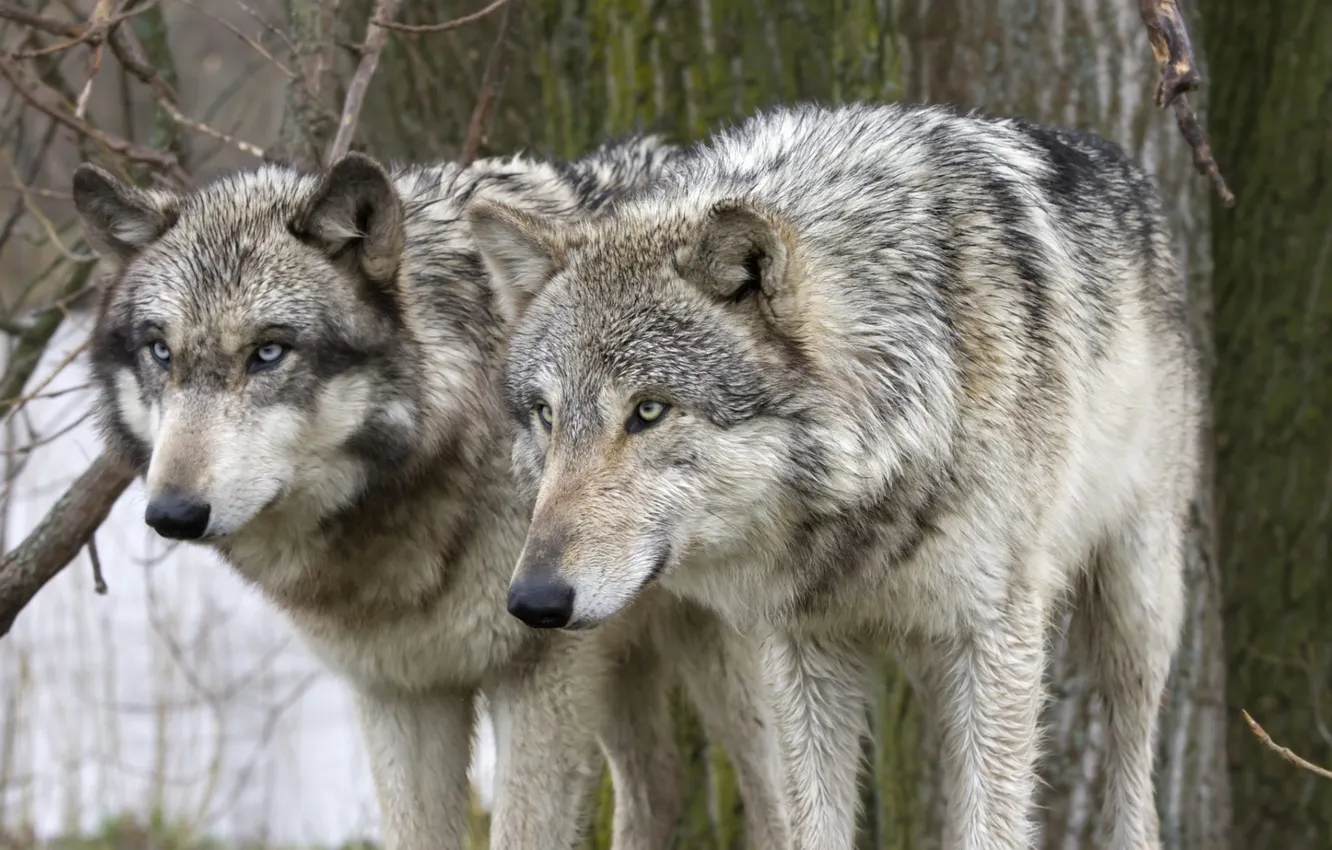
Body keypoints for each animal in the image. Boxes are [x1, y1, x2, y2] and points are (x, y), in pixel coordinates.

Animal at [73, 137, 789, 850]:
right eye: (160, 352)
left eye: (268, 352)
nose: (172, 513)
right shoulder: (400, 693)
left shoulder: (539, 675)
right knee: (658, 784)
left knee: (772, 797)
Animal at [468, 101, 1202, 850]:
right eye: (547, 415)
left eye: (648, 411)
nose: (533, 600)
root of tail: (1119, 162)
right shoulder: (804, 652)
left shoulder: (995, 637)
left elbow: (994, 825)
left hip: (1132, 614)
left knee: (1133, 777)